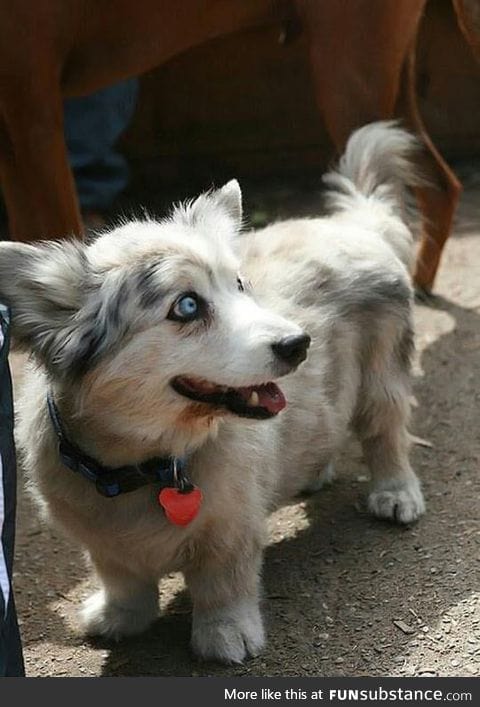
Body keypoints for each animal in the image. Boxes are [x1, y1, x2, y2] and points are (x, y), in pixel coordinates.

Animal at [1, 120, 426, 664]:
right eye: (186, 306)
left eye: (239, 284)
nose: (299, 344)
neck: (147, 465)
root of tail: (358, 223)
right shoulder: (104, 543)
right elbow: (122, 578)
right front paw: (121, 616)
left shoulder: (231, 530)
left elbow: (223, 583)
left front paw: (226, 634)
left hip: (381, 381)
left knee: (386, 435)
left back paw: (396, 493)